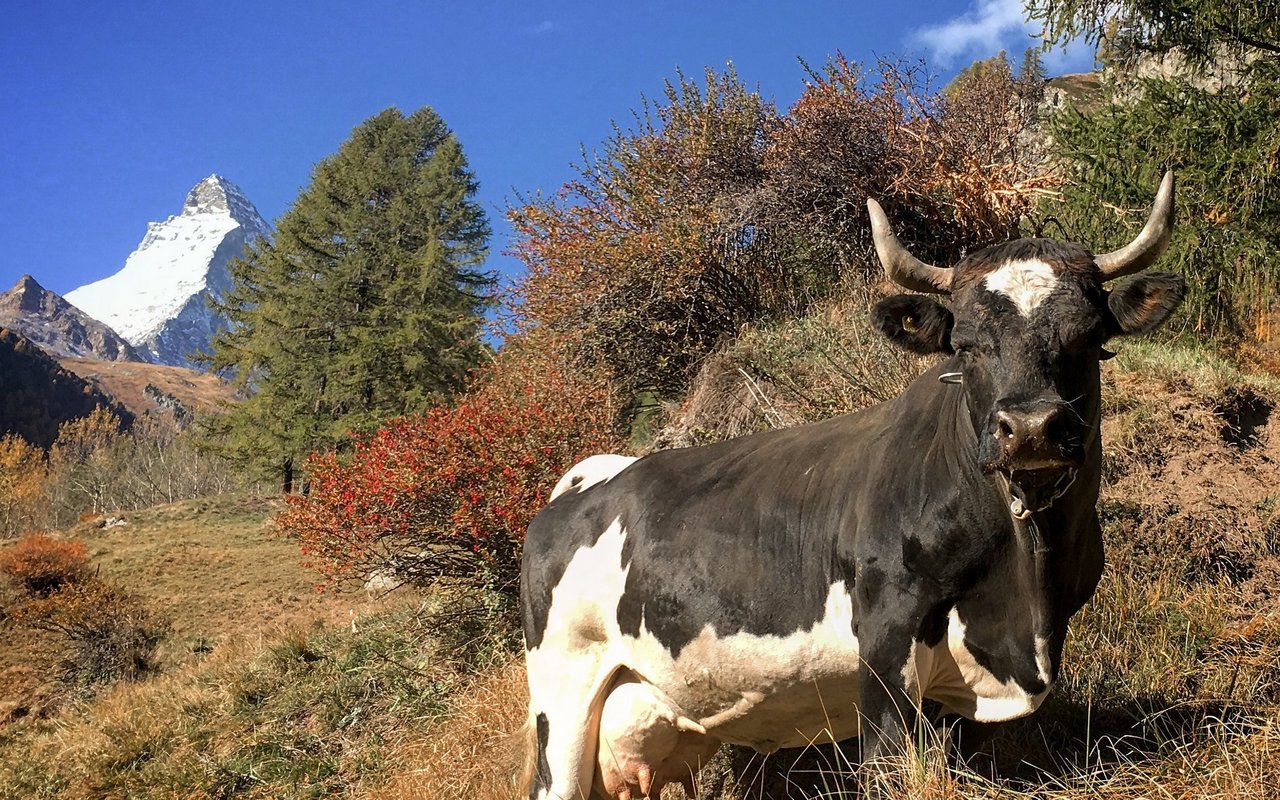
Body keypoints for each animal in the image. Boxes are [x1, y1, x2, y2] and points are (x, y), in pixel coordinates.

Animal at [514, 171, 1182, 793]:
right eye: (965, 345)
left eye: (1090, 337)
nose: (1032, 427)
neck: (1024, 599)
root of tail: (590, 476)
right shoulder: (885, 638)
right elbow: (889, 765)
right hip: (563, 694)